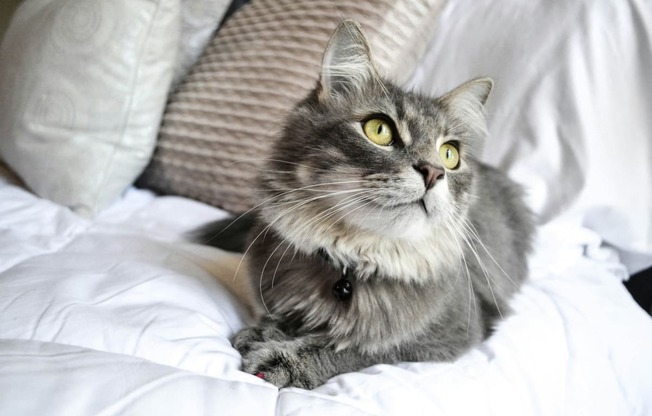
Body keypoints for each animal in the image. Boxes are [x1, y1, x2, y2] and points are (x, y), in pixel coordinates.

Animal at [197, 19, 536, 390]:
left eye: (449, 155)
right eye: (379, 130)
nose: (434, 172)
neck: (353, 259)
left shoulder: (450, 332)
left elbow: (358, 345)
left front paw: (286, 357)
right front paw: (267, 330)